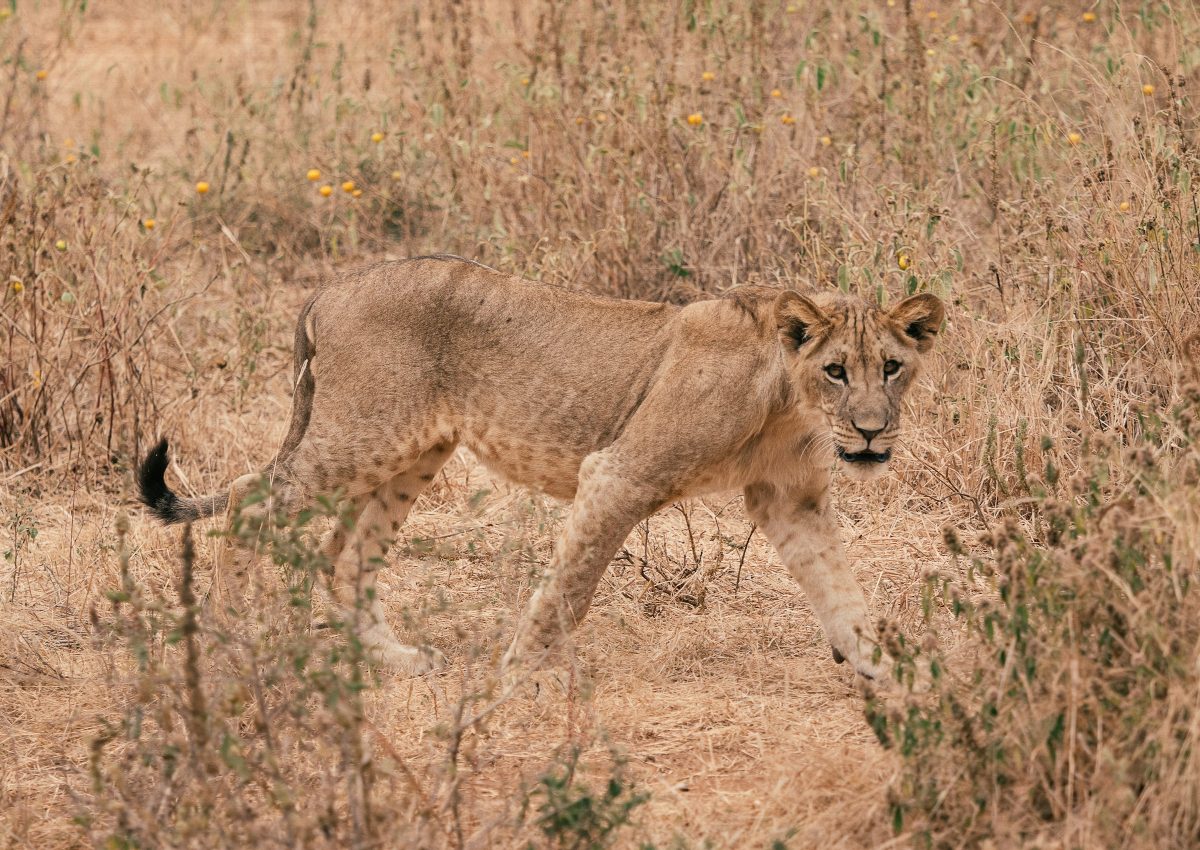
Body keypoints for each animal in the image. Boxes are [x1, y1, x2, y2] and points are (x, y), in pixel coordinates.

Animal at [137, 254, 944, 684]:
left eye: (892, 368)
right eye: (836, 370)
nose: (871, 433)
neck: (789, 398)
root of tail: (330, 289)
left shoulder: (792, 500)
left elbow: (840, 587)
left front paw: (889, 670)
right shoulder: (618, 474)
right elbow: (568, 589)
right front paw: (519, 680)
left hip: (411, 455)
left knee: (346, 553)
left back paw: (396, 658)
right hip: (359, 436)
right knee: (252, 502)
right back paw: (229, 639)